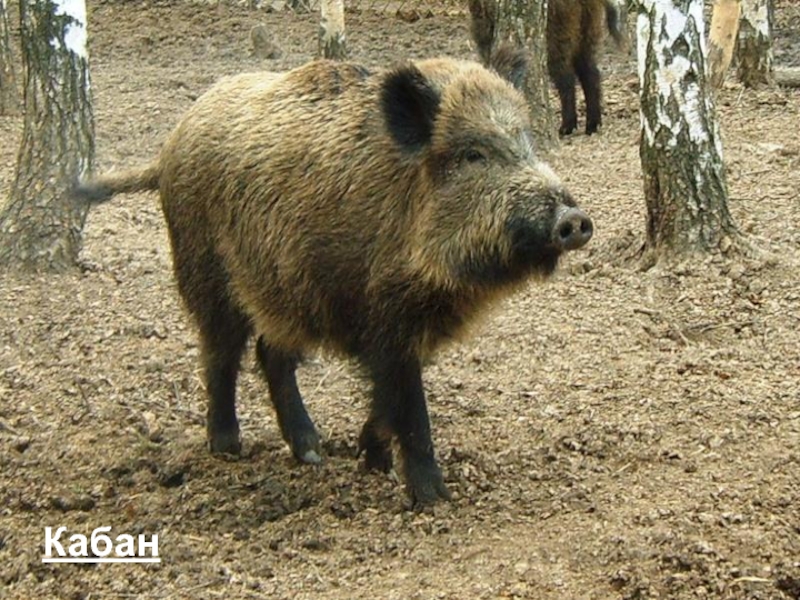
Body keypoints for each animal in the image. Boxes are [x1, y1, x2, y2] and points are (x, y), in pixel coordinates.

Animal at [75, 50, 593, 505]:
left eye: (526, 141)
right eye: (472, 154)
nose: (574, 219)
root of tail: (168, 149)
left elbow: (386, 396)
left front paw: (372, 460)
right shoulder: (384, 315)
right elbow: (409, 404)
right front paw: (433, 498)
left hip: (285, 289)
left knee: (270, 353)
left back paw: (312, 452)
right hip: (205, 272)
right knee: (220, 353)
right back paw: (229, 448)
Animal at [470, 0, 626, 136]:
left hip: (558, 36)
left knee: (567, 80)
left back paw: (566, 128)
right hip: (589, 29)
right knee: (590, 74)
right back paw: (592, 126)